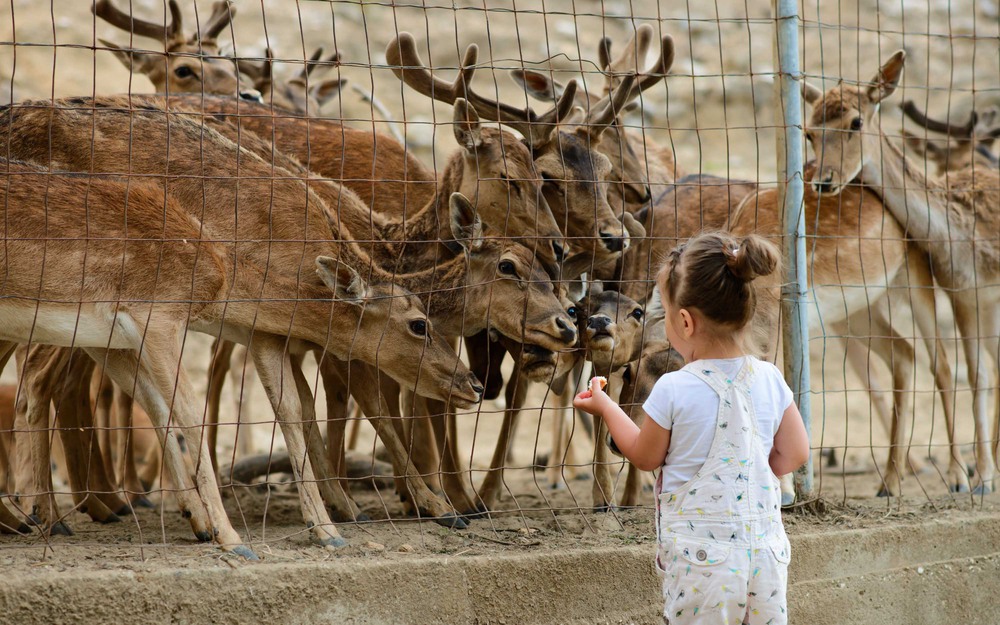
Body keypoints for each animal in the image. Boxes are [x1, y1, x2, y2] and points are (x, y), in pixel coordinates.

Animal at [804, 50, 1000, 492]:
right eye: (808, 131)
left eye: (856, 121)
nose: (823, 181)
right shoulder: (962, 292)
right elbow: (977, 372)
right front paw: (983, 473)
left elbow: (974, 373)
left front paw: (979, 477)